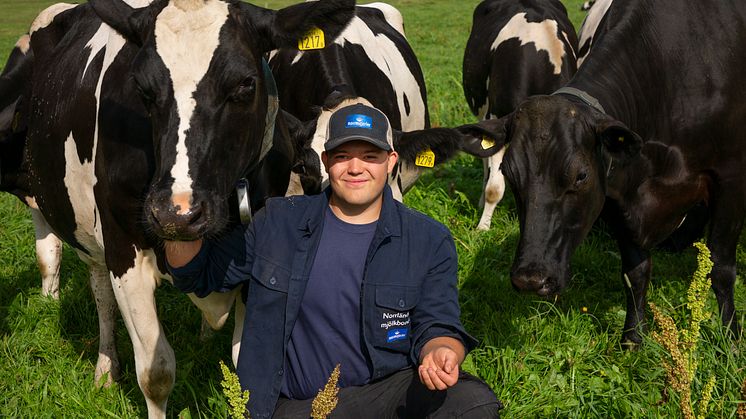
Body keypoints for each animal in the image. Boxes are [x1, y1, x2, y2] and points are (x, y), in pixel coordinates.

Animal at [0, 0, 354, 416]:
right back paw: (106, 367)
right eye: (142, 88)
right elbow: (156, 373)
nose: (177, 214)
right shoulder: (124, 249)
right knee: (96, 289)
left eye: (245, 84)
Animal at [474, 0, 740, 348]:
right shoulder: (617, 190)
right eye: (510, 173)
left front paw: (730, 341)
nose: (531, 278)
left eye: (581, 176)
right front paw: (632, 341)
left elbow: (721, 268)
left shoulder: (730, 177)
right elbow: (635, 273)